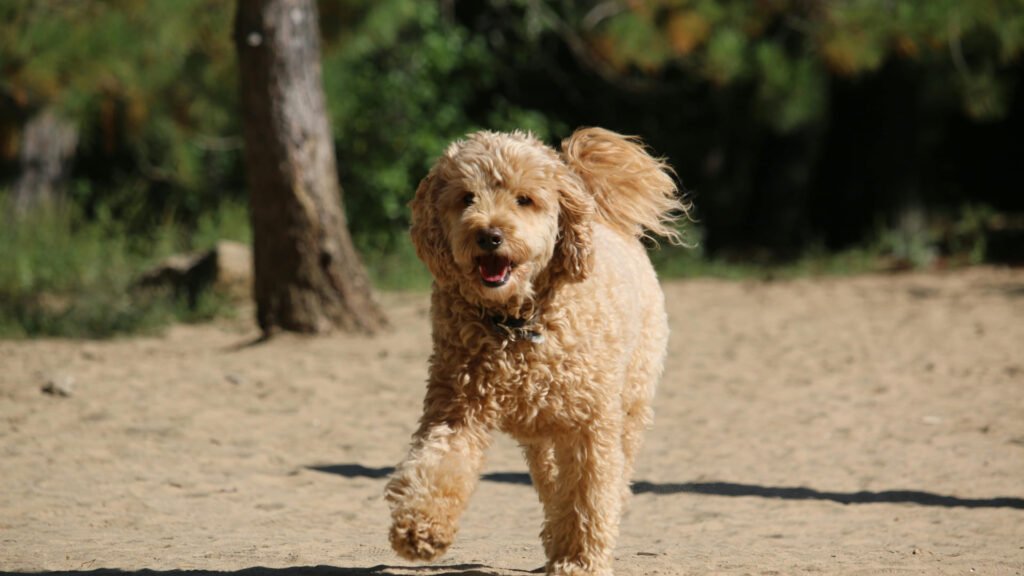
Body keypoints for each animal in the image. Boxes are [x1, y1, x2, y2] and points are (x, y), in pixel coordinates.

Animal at [385, 126, 688, 573]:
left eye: (524, 199)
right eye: (466, 197)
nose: (489, 236)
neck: (516, 324)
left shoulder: (590, 423)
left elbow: (590, 490)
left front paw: (581, 560)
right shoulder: (457, 407)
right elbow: (439, 462)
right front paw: (420, 527)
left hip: (629, 401)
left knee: (612, 473)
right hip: (541, 433)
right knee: (552, 484)